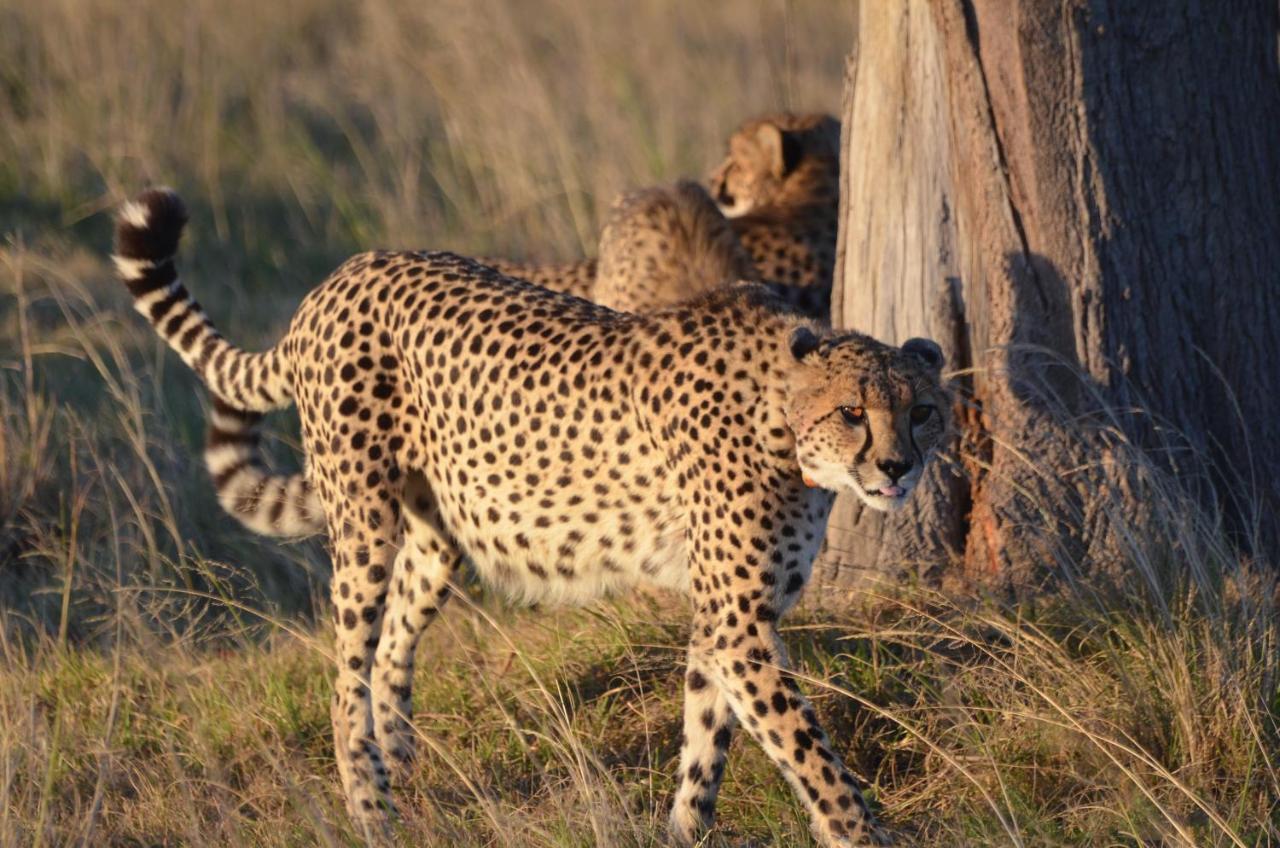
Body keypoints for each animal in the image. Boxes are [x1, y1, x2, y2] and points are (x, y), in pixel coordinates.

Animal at [112, 188, 952, 848]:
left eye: (923, 411)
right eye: (853, 412)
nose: (896, 469)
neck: (781, 410)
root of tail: (346, 273)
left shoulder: (726, 619)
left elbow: (705, 733)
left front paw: (685, 829)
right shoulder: (741, 622)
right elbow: (806, 748)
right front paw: (863, 833)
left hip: (442, 532)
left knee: (394, 642)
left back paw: (404, 765)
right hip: (364, 521)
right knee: (345, 672)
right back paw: (372, 809)